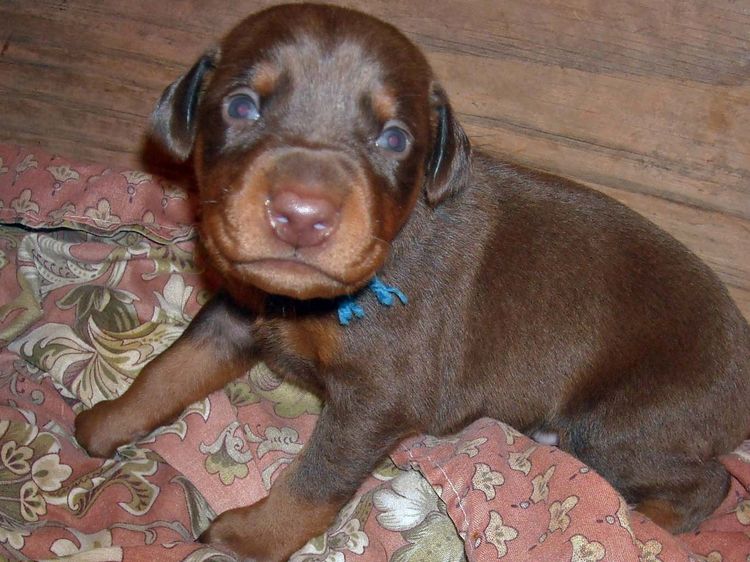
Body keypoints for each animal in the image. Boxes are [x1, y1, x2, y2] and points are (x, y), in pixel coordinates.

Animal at [75, 3, 750, 556]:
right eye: (242, 106)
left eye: (395, 138)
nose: (302, 215)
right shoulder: (237, 313)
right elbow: (169, 370)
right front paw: (103, 423)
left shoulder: (376, 398)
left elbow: (314, 481)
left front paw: (246, 537)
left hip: (626, 423)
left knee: (706, 485)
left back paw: (637, 516)